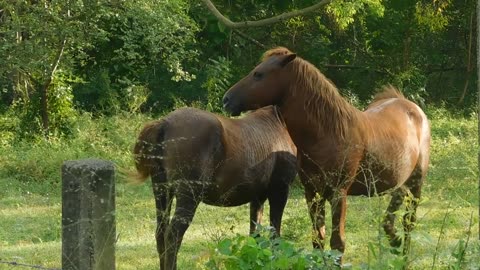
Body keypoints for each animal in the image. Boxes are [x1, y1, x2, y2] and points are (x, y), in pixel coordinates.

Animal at [132, 105, 296, 270]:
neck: (278, 123)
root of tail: (164, 123)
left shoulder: (257, 197)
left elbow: (255, 234)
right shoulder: (279, 191)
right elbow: (275, 234)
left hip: (162, 192)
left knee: (161, 232)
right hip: (188, 197)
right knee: (173, 235)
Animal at [224, 47, 432, 262]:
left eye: (259, 74)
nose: (227, 99)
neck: (328, 134)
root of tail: (411, 107)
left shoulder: (338, 193)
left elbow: (337, 243)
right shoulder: (312, 192)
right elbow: (318, 239)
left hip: (417, 181)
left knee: (409, 222)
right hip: (399, 178)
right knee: (397, 203)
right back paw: (394, 239)